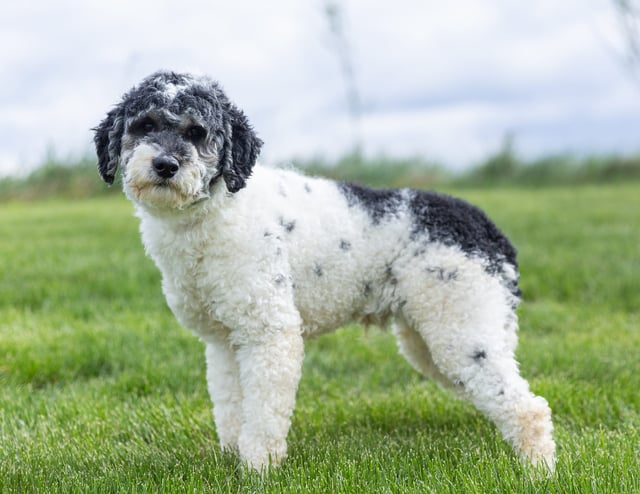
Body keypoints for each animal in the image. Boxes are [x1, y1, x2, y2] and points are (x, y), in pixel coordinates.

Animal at [94, 71, 556, 472]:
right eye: (145, 124)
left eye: (196, 132)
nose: (165, 165)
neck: (219, 208)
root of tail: (489, 230)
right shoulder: (224, 341)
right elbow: (230, 405)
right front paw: (232, 455)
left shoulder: (269, 333)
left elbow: (264, 410)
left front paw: (258, 468)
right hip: (436, 338)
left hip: (462, 331)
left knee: (529, 407)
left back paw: (538, 470)